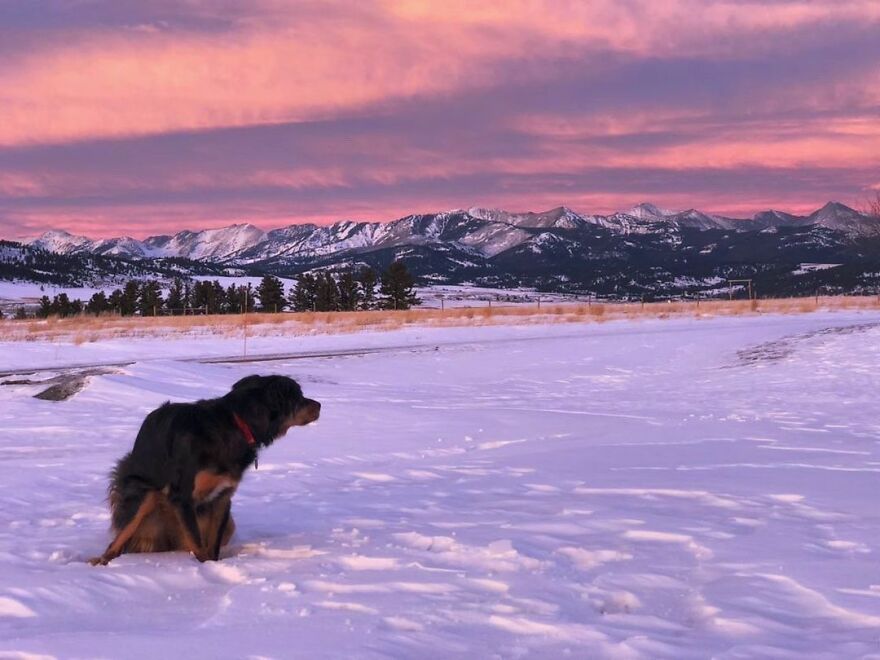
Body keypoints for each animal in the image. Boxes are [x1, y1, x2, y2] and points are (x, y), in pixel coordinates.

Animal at [89, 374, 322, 564]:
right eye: (298, 396)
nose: (320, 404)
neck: (236, 423)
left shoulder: (223, 497)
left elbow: (212, 545)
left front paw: (213, 566)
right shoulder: (182, 497)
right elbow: (198, 543)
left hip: (228, 524)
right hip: (143, 496)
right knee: (118, 540)